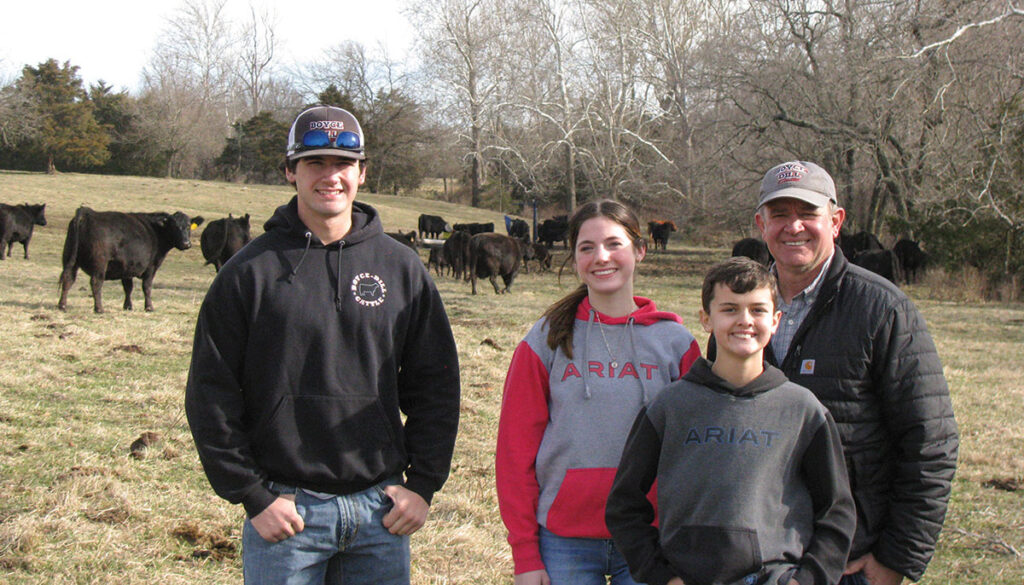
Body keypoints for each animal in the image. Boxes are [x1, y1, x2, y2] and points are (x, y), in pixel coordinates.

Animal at [56, 206, 203, 313]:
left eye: (188, 226)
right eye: (174, 226)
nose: (186, 243)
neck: (157, 231)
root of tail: (88, 213)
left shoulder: (127, 267)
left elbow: (128, 287)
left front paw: (128, 306)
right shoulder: (151, 267)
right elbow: (147, 287)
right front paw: (149, 307)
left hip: (69, 258)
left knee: (68, 279)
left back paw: (62, 305)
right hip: (100, 264)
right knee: (96, 283)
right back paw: (99, 308)